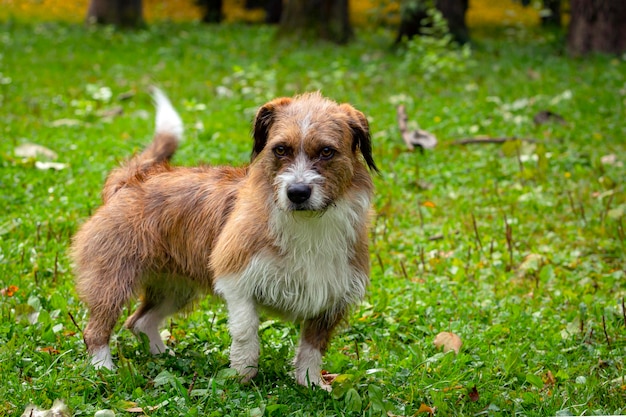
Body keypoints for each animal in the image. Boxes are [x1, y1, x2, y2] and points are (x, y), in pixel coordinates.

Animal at [72, 88, 376, 390]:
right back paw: (103, 368)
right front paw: (240, 377)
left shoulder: (331, 298)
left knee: (139, 322)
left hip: (176, 288)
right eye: (280, 149)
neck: (308, 224)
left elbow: (312, 349)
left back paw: (163, 357)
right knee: (95, 330)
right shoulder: (237, 281)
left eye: (326, 151)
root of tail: (133, 179)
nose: (297, 192)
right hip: (113, 281)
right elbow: (246, 333)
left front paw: (310, 383)